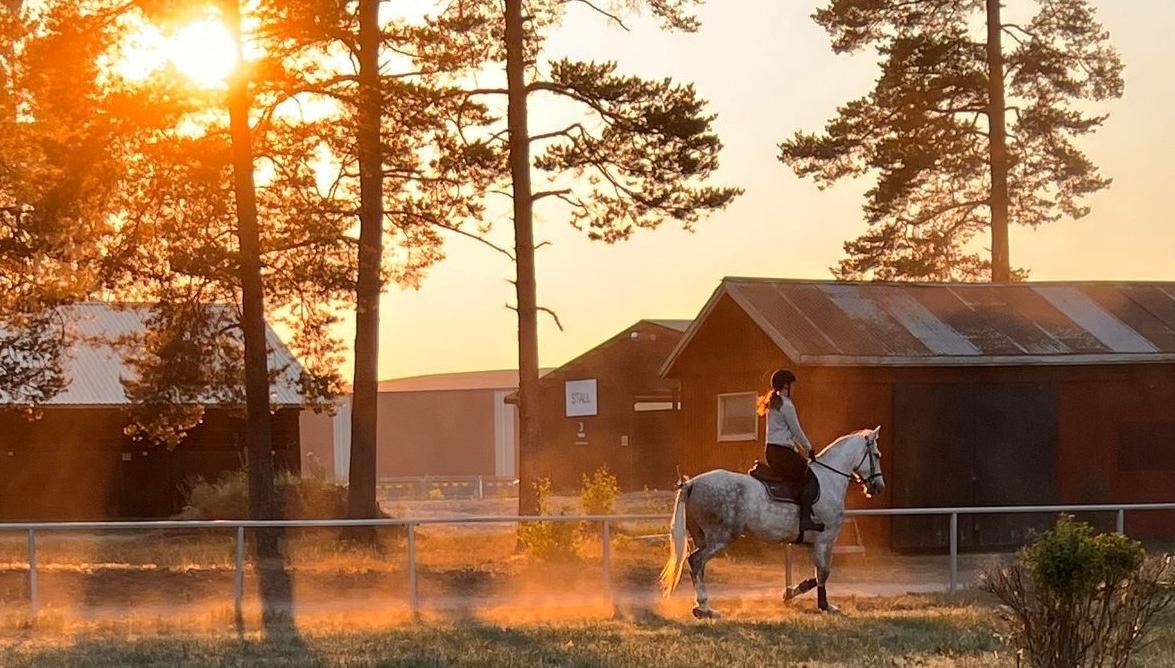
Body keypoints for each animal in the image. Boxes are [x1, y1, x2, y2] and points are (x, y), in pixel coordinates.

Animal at [662, 427, 883, 615]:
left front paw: (791, 592)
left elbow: (816, 575)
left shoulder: (811, 543)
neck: (829, 479)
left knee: (699, 566)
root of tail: (692, 483)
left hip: (702, 537)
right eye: (877, 455)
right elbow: (824, 573)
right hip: (720, 537)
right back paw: (704, 607)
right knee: (696, 560)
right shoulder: (825, 541)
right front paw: (825, 605)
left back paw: (704, 606)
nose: (879, 486)